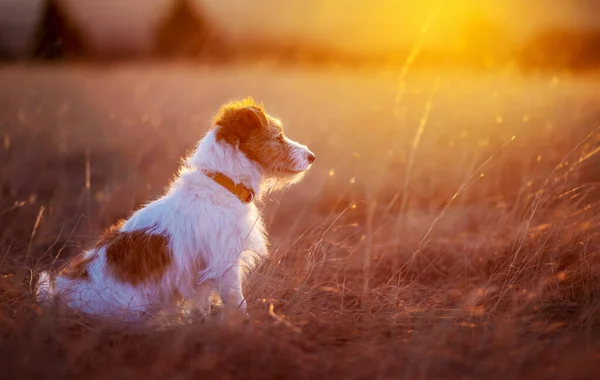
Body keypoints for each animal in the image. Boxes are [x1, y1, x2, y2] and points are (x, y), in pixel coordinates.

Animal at [37, 98, 316, 320]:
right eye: (278, 137)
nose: (312, 156)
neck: (223, 183)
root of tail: (60, 298)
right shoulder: (225, 264)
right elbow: (237, 303)